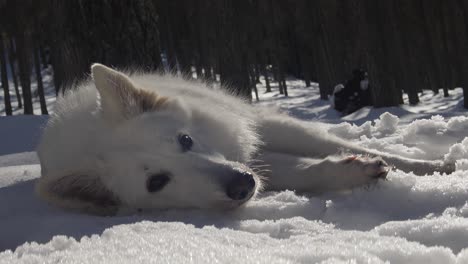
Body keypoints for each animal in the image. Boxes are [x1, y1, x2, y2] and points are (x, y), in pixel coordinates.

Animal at [35, 64, 454, 214]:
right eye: (156, 182)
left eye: (185, 140)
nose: (242, 184)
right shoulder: (258, 163)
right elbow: (309, 170)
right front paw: (354, 173)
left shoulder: (257, 136)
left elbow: (348, 147)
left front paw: (435, 168)